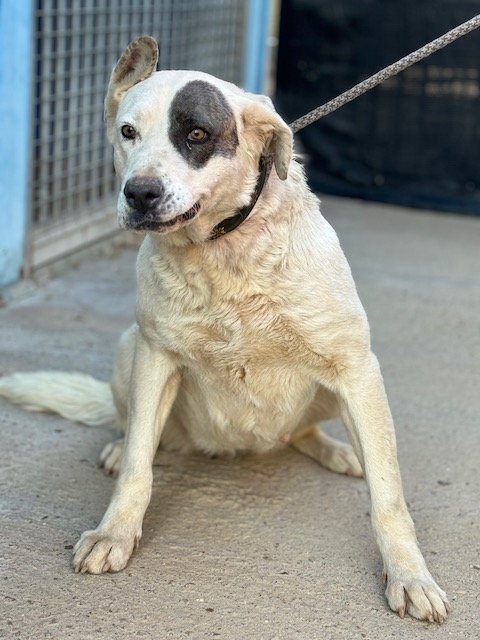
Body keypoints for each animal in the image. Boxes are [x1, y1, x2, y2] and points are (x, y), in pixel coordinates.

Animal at [0, 36, 448, 622]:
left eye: (196, 134)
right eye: (127, 132)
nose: (139, 193)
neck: (222, 251)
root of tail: (246, 446)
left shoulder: (356, 368)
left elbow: (389, 498)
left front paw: (410, 576)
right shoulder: (156, 357)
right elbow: (139, 466)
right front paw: (114, 532)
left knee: (308, 433)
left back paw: (338, 450)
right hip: (128, 349)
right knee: (136, 429)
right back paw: (121, 446)